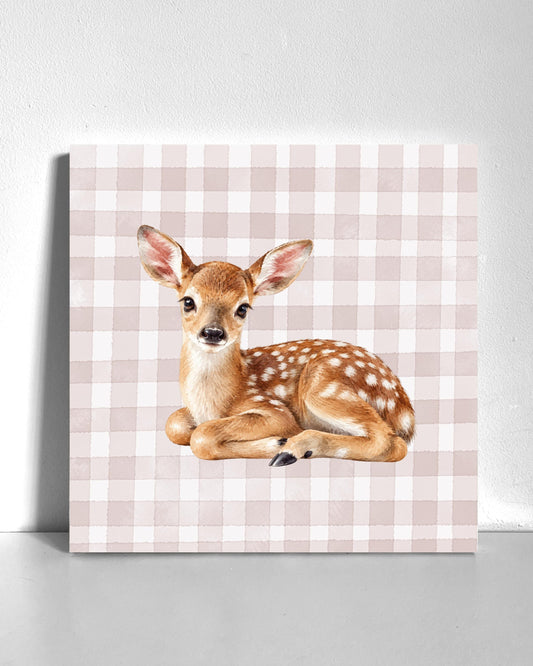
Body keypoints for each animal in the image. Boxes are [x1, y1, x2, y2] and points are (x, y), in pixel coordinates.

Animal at [137, 225, 415, 467]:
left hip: (323, 386)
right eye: (188, 301)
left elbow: (202, 436)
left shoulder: (274, 409)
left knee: (390, 442)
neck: (215, 402)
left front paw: (276, 442)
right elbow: (173, 424)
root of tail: (406, 412)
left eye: (243, 308)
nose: (213, 332)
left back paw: (292, 449)